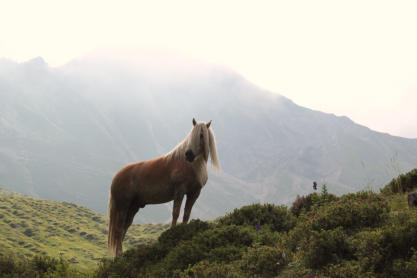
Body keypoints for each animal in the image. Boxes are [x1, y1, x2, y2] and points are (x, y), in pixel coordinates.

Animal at [107, 118, 219, 258]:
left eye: (202, 135)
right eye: (192, 134)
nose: (188, 154)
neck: (191, 166)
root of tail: (116, 176)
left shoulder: (194, 194)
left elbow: (186, 215)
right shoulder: (179, 191)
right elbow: (176, 213)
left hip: (133, 207)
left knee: (124, 228)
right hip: (123, 205)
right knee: (119, 228)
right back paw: (119, 254)